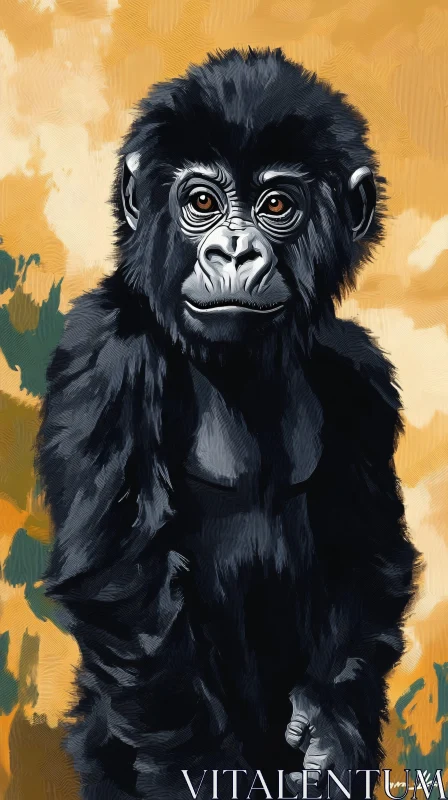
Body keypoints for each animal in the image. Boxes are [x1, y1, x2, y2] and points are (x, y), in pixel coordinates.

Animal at [37, 48, 418, 800]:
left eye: (276, 206)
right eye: (203, 203)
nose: (235, 252)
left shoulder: (361, 378)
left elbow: (369, 553)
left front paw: (330, 731)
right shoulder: (104, 357)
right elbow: (125, 589)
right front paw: (208, 774)